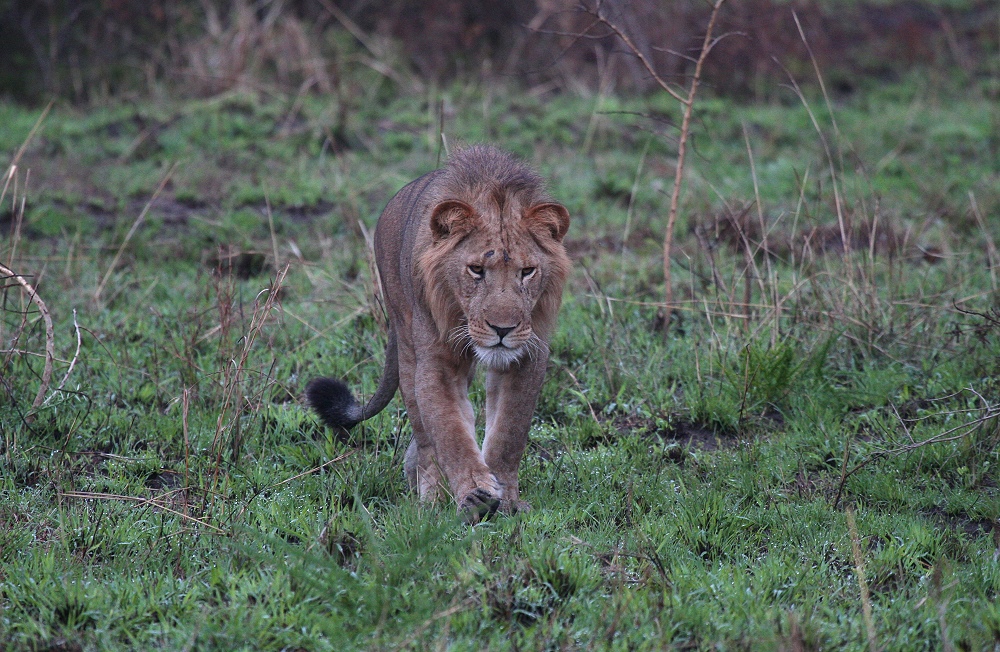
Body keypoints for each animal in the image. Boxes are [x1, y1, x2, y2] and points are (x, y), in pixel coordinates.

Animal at [304, 144, 572, 520]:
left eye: (527, 271)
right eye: (476, 270)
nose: (502, 329)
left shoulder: (527, 356)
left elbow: (509, 432)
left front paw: (506, 499)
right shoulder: (436, 361)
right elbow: (449, 430)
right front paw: (475, 493)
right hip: (405, 340)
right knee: (426, 435)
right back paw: (429, 497)